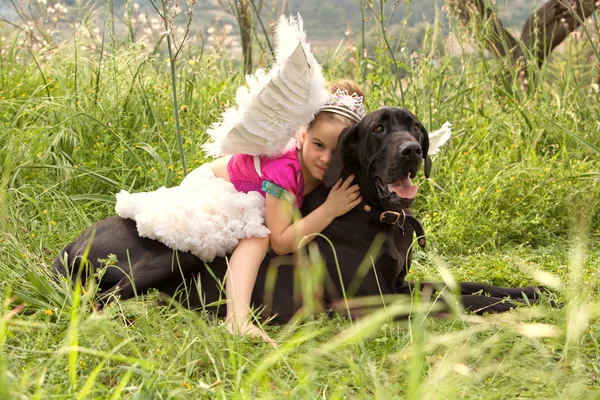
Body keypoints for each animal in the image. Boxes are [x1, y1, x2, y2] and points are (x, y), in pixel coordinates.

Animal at [54, 107, 548, 322]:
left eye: (414, 128)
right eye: (378, 129)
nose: (411, 151)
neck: (377, 216)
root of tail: (72, 242)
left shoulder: (397, 283)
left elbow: (467, 286)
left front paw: (537, 292)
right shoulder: (367, 302)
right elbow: (456, 299)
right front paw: (513, 308)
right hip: (174, 255)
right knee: (101, 299)